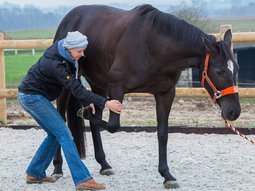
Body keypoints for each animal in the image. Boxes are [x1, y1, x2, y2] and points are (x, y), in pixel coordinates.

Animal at [52, 4, 241, 188]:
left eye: (236, 68)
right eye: (219, 71)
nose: (234, 111)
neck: (154, 46)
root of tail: (70, 17)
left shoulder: (165, 93)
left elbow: (162, 134)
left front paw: (167, 175)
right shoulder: (116, 87)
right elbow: (113, 125)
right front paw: (84, 112)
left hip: (98, 85)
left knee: (94, 122)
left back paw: (104, 165)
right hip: (67, 84)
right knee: (60, 117)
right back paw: (57, 167)